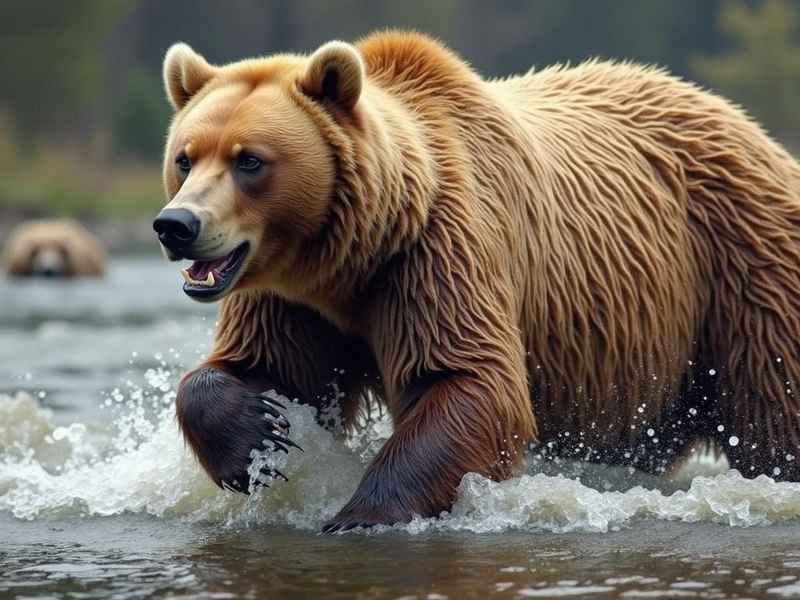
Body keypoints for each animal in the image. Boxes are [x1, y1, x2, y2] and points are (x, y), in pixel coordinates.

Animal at [154, 31, 800, 532]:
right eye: (185, 156)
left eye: (250, 160)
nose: (176, 225)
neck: (351, 260)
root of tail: (750, 126)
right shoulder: (290, 297)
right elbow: (258, 366)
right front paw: (259, 438)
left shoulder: (436, 253)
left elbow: (468, 382)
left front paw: (358, 514)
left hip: (741, 267)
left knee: (776, 407)